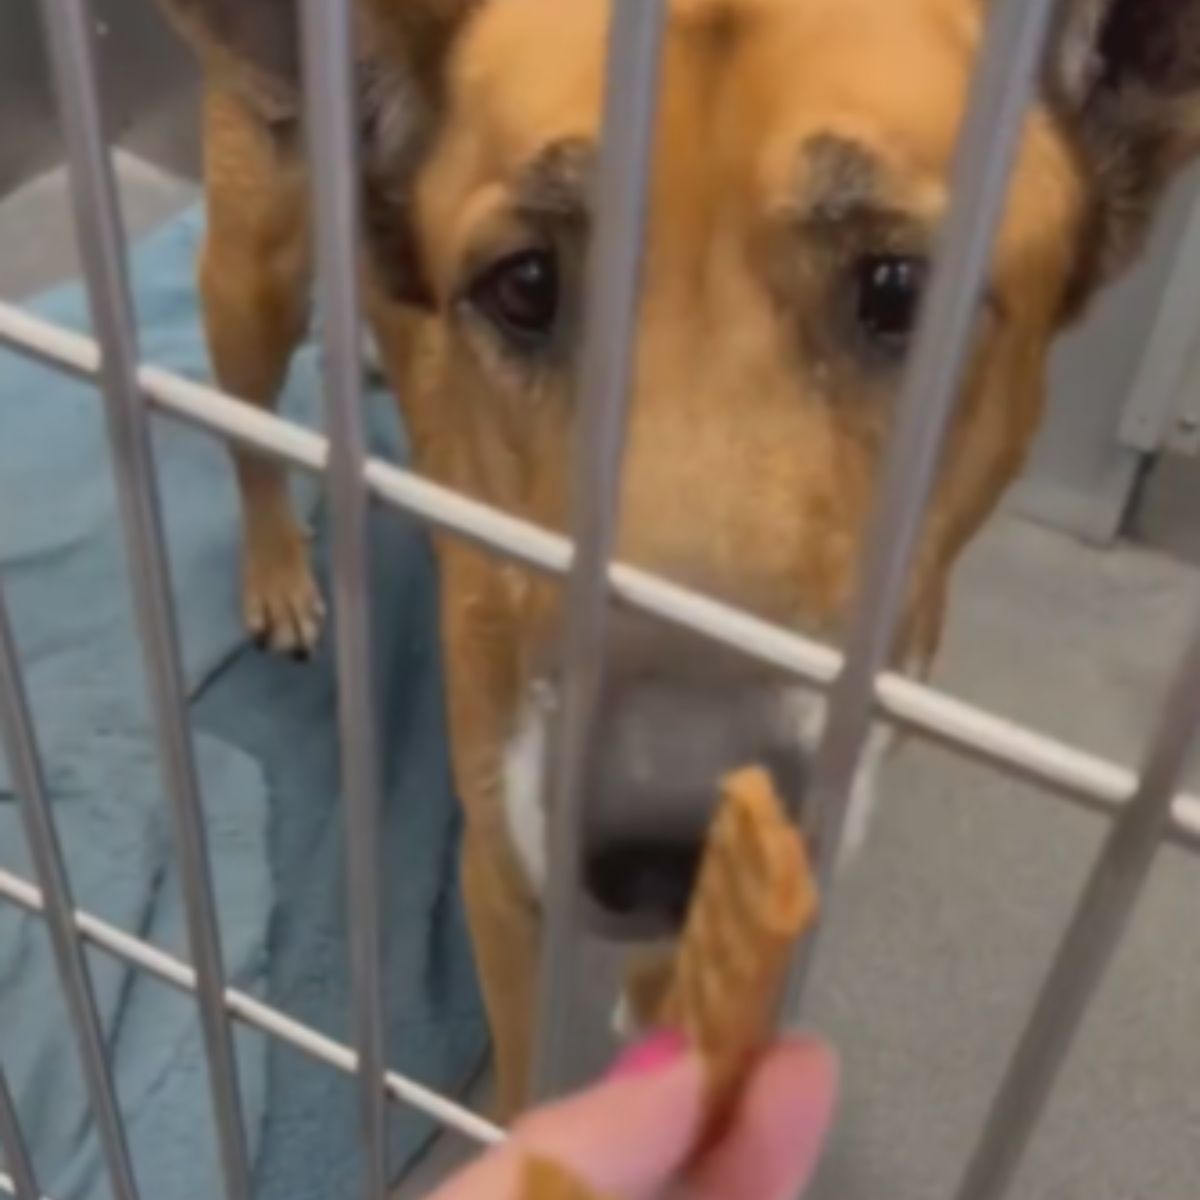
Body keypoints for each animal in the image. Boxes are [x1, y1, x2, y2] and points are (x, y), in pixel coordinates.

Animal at [157, 0, 1200, 1113]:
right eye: (525, 285)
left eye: (900, 293)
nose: (673, 830)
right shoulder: (501, 881)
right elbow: (526, 1078)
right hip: (253, 271)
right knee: (247, 431)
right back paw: (276, 567)